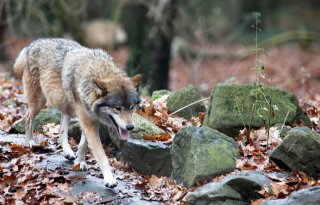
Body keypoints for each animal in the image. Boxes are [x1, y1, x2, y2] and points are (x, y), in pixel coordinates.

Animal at [13, 38, 141, 187]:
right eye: (118, 108)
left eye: (131, 107)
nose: (130, 127)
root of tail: (32, 45)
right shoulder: (88, 122)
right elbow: (101, 155)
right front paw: (110, 179)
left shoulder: (90, 119)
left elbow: (83, 144)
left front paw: (79, 162)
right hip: (38, 103)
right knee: (28, 118)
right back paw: (29, 142)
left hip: (65, 107)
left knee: (61, 130)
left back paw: (68, 152)